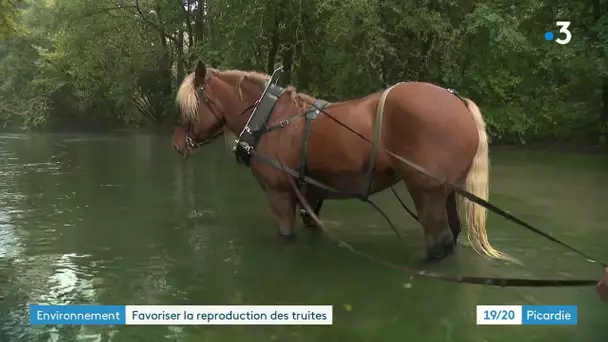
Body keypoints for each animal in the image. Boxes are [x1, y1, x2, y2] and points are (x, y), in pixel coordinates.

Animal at [173, 60, 516, 262]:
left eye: (188, 105)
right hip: (447, 192)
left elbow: (286, 236)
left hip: (426, 191)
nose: (176, 144)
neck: (270, 118)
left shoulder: (279, 195)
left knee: (439, 240)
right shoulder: (311, 195)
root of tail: (456, 99)